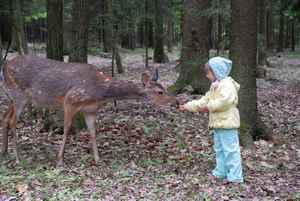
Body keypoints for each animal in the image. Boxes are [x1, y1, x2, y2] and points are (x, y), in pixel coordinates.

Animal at [0, 54, 177, 166]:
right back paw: (17, 158)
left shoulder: (90, 110)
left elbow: (92, 132)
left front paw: (98, 159)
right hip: (19, 94)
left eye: (164, 88)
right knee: (13, 121)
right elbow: (66, 129)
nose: (175, 102)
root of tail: (4, 66)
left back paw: (5, 151)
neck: (100, 92)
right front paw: (60, 160)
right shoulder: (70, 100)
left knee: (4, 117)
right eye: (160, 92)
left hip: (13, 96)